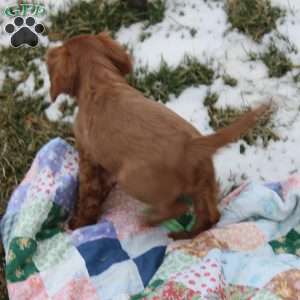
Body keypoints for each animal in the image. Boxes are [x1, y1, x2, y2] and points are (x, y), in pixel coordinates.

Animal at [47, 32, 270, 238]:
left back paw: (149, 220)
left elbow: (87, 193)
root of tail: (192, 146)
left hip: (133, 181)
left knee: (178, 208)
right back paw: (183, 236)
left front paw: (79, 221)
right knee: (210, 216)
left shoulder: (87, 155)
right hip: (204, 183)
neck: (100, 80)